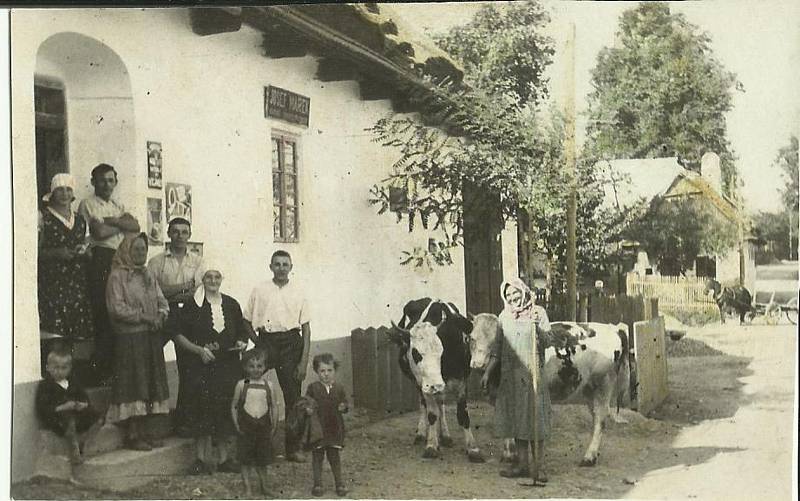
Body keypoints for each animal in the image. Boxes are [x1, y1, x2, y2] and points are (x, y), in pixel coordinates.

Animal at [386, 296, 482, 460]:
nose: (434, 385)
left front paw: (473, 448)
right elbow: (431, 414)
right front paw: (431, 445)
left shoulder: (462, 381)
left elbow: (463, 414)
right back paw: (421, 434)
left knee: (441, 404)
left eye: (441, 351)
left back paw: (445, 436)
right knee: (424, 405)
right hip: (420, 383)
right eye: (415, 352)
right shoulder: (424, 384)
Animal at [468, 314, 632, 466]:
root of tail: (613, 328)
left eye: (495, 341)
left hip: (603, 384)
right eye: (472, 338)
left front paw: (511, 455)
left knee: (600, 420)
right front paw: (510, 454)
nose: (478, 364)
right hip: (589, 389)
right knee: (596, 418)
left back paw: (589, 457)